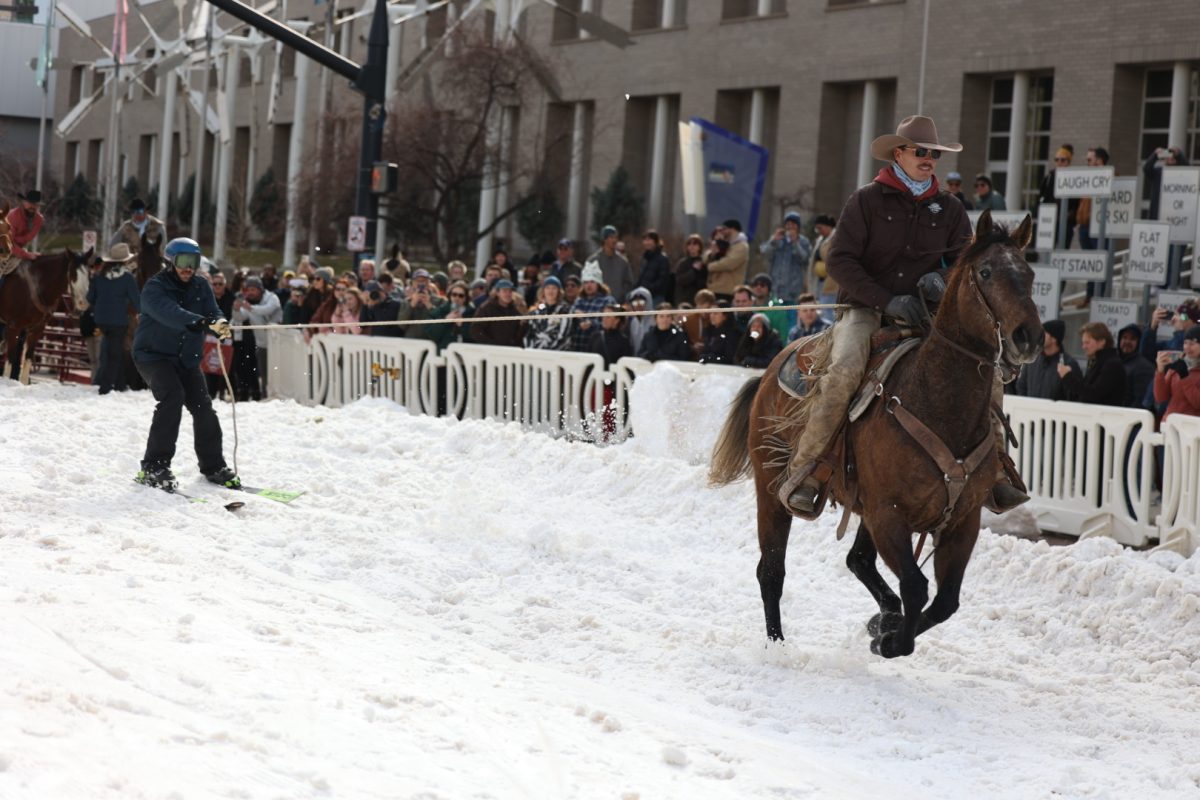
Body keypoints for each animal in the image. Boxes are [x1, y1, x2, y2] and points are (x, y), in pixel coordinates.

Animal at [0, 247, 93, 381]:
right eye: (73, 273)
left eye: (89, 274)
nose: (84, 302)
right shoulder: (13, 327)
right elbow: (10, 360)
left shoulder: (37, 330)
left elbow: (27, 360)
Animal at [710, 209, 1041, 662]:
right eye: (986, 272)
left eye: (1029, 273)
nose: (1029, 336)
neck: (934, 401)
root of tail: (770, 371)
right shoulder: (888, 515)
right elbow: (917, 587)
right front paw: (891, 641)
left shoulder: (962, 521)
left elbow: (946, 600)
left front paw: (886, 628)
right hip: (772, 490)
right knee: (772, 569)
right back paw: (777, 644)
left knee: (858, 561)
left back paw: (883, 614)